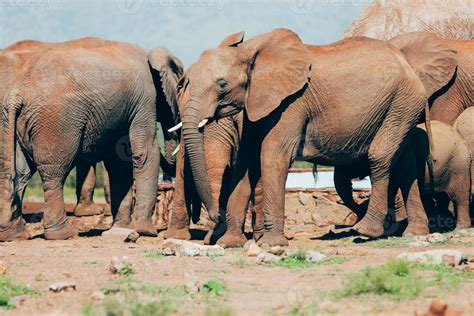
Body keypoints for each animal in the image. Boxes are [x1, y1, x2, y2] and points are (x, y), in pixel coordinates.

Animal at [0, 40, 181, 242]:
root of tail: (16, 94)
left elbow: (119, 164)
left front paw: (123, 228)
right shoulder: (145, 99)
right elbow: (145, 152)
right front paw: (146, 231)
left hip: (14, 123)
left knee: (18, 172)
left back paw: (13, 235)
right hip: (56, 122)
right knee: (54, 172)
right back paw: (63, 234)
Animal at [177, 28, 456, 247]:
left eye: (222, 85)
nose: (213, 218)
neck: (251, 49)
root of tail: (409, 68)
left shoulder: (292, 103)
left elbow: (273, 156)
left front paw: (271, 244)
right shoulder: (256, 104)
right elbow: (246, 163)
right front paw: (229, 244)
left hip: (402, 102)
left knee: (380, 156)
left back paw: (365, 231)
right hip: (401, 107)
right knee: (405, 165)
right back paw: (414, 232)